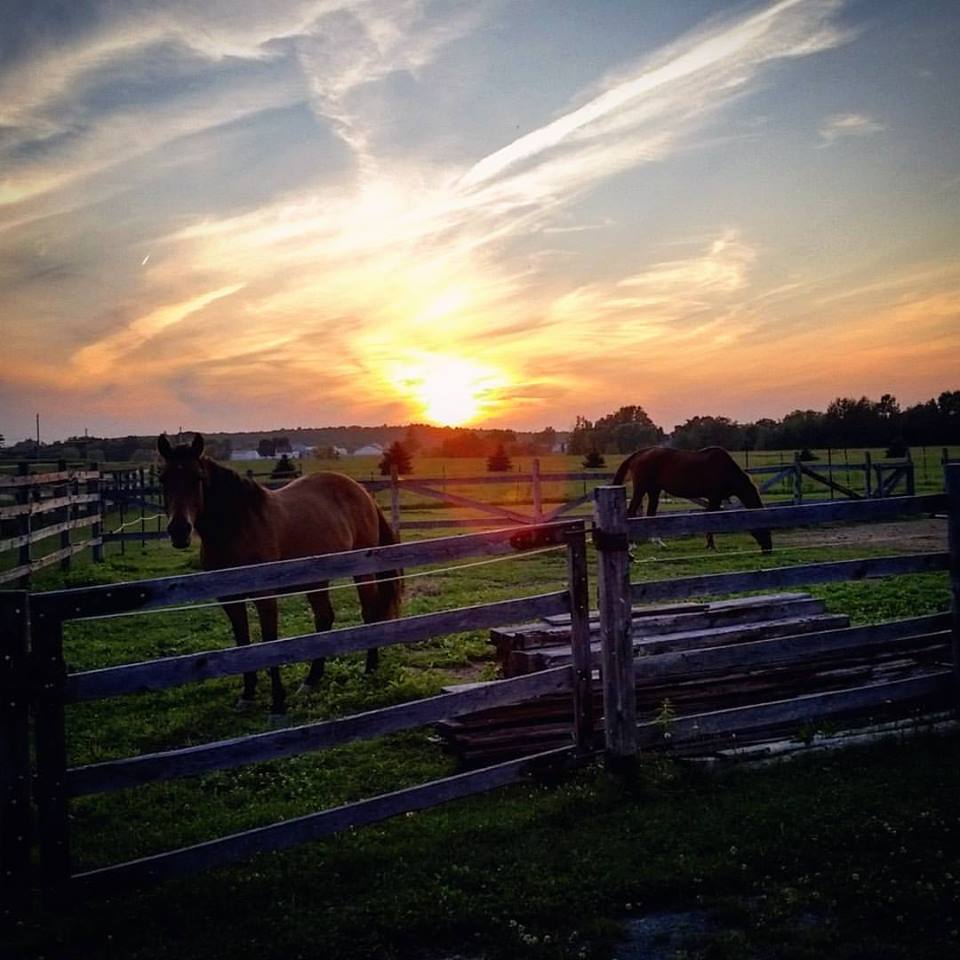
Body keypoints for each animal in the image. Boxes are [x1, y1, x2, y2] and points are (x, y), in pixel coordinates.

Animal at [158, 434, 402, 712]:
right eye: (163, 478)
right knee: (324, 618)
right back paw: (311, 680)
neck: (238, 526)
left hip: (362, 571)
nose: (179, 530)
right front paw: (247, 694)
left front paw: (277, 699)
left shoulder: (265, 596)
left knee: (368, 613)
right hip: (317, 580)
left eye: (197, 477)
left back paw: (369, 668)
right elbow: (243, 641)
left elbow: (270, 642)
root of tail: (362, 492)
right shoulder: (230, 599)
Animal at [616, 446, 772, 552]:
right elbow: (710, 518)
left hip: (654, 491)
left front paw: (709, 544)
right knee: (631, 513)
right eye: (763, 527)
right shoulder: (714, 498)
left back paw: (659, 543)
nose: (768, 548)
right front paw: (711, 546)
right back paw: (631, 545)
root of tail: (641, 453)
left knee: (651, 514)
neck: (726, 470)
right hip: (641, 489)